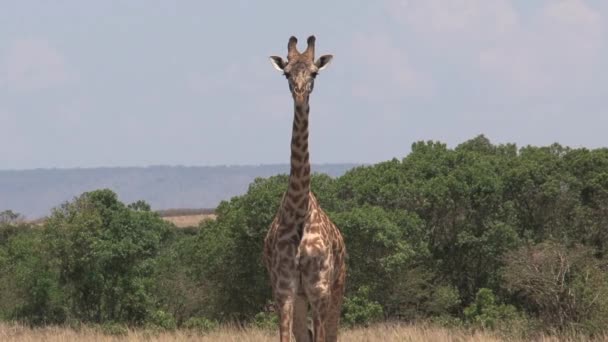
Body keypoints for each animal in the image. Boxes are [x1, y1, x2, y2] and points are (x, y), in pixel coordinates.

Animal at [262, 35, 346, 342]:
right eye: (287, 73)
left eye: (314, 73)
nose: (299, 96)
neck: (298, 210)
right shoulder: (283, 289)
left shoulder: (319, 289)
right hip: (300, 298)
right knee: (304, 333)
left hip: (337, 288)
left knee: (332, 334)